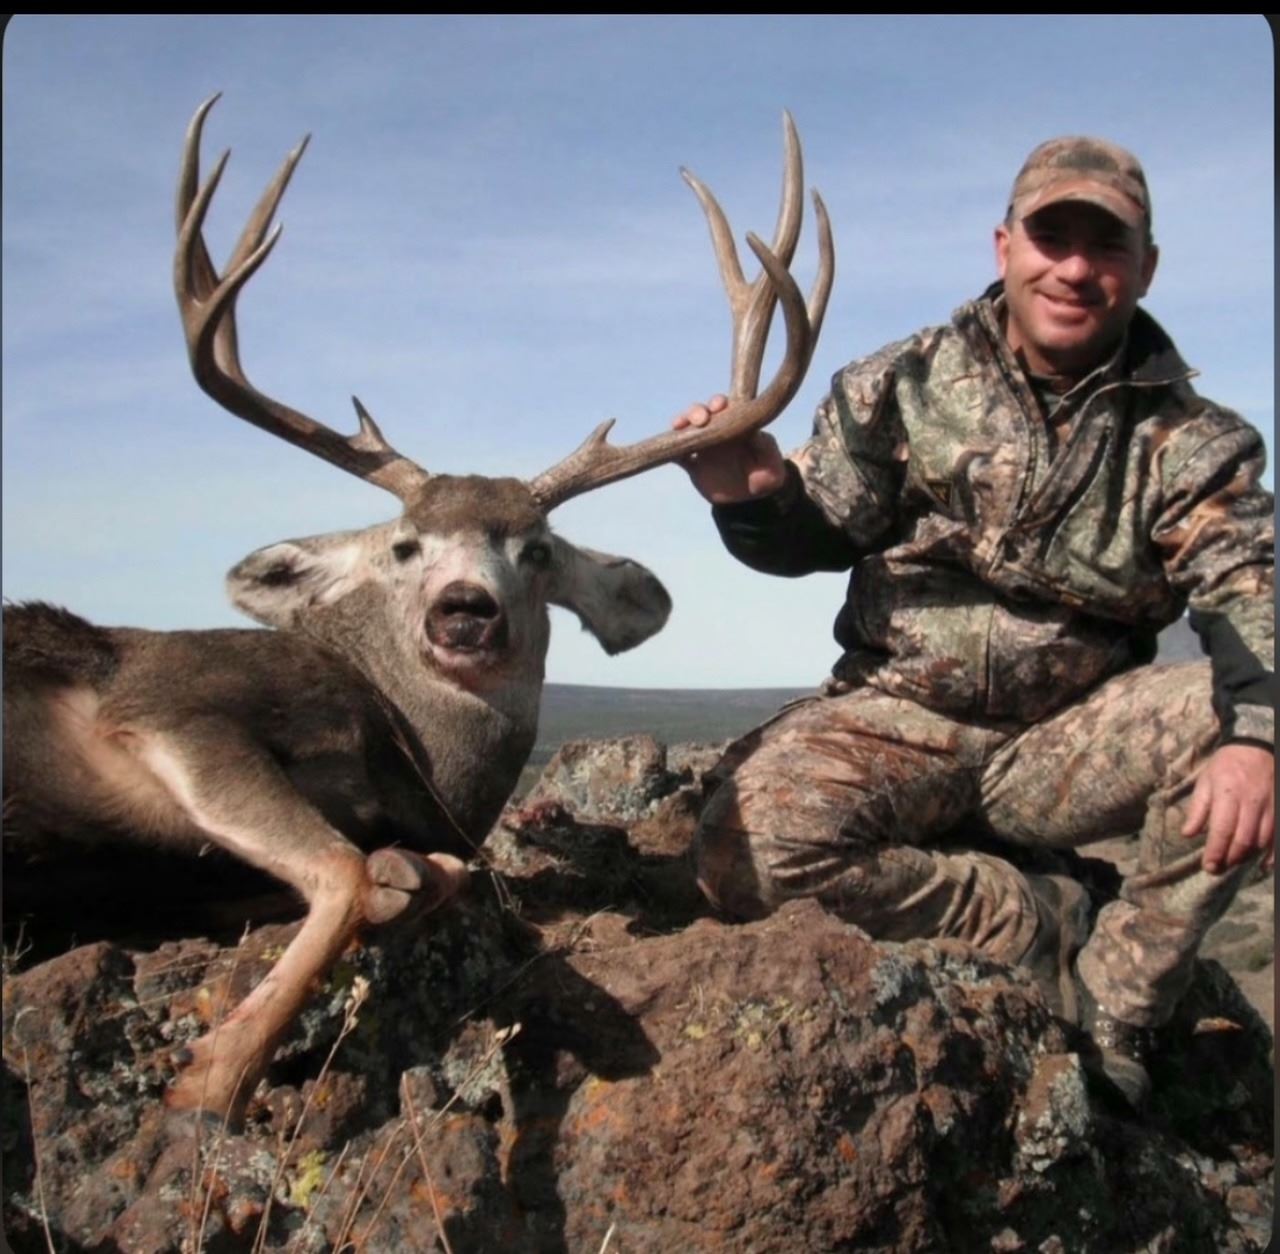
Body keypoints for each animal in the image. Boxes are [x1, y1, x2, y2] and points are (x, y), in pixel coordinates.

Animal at [2, 96, 833, 1124]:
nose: (465, 610)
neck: (415, 754)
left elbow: (408, 870)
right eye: (405, 548)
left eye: (537, 551)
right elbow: (346, 870)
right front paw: (210, 1076)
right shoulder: (169, 697)